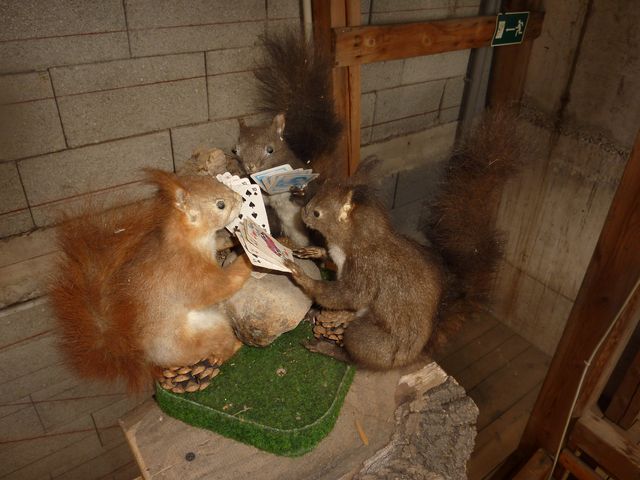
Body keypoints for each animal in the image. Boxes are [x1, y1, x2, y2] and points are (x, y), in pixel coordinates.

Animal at [49, 170, 253, 391]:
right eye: (220, 205)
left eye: (217, 182)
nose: (240, 199)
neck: (191, 240)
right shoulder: (187, 273)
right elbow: (219, 286)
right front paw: (248, 259)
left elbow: (221, 243)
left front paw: (235, 241)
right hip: (207, 333)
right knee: (221, 350)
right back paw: (236, 345)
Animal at [287, 110, 522, 369]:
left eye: (317, 213)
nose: (302, 212)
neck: (356, 241)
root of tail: (408, 357)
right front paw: (314, 251)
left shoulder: (368, 270)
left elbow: (348, 294)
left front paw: (301, 276)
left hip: (371, 341)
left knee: (356, 354)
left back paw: (330, 343)